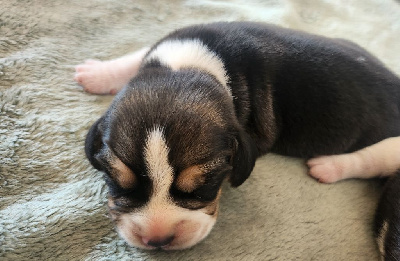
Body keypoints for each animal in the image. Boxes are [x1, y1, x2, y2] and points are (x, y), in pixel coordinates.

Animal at [74, 21, 400, 255]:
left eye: (203, 188)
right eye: (118, 183)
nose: (158, 239)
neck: (188, 68)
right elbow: (136, 57)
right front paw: (96, 74)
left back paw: (329, 167)